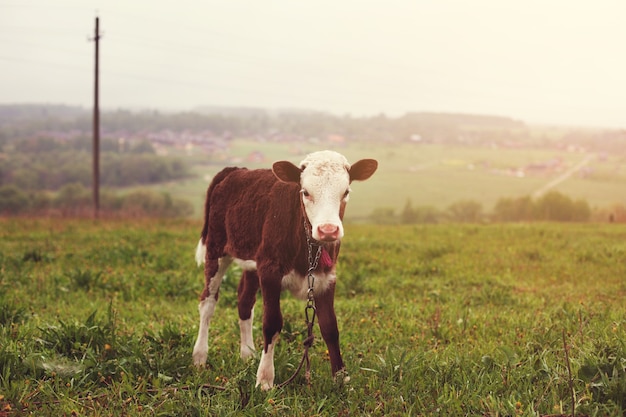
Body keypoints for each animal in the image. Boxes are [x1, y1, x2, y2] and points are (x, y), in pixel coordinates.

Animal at [191, 150, 376, 390]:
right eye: (305, 192)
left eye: (346, 191)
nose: (328, 230)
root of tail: (235, 170)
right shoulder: (270, 271)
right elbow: (272, 322)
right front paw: (264, 379)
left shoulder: (327, 277)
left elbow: (330, 326)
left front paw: (341, 379)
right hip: (216, 249)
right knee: (208, 301)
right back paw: (200, 357)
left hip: (252, 260)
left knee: (244, 301)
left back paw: (248, 354)